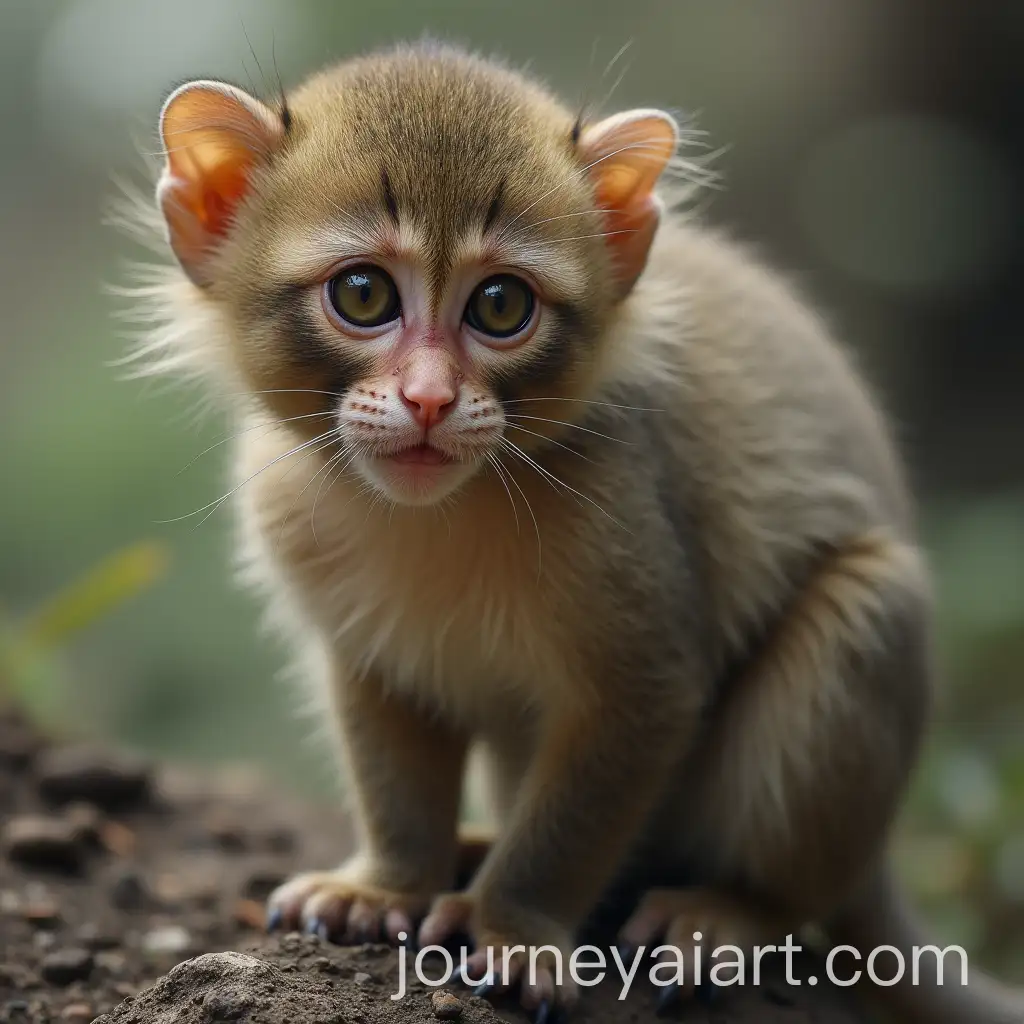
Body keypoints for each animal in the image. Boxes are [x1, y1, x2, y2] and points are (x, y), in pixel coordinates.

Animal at [131, 42, 1023, 1024]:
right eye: (363, 294)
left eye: (499, 306)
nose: (429, 400)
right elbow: (388, 701)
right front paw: (388, 883)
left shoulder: (624, 522)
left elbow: (639, 712)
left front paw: (515, 926)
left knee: (864, 605)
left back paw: (737, 910)